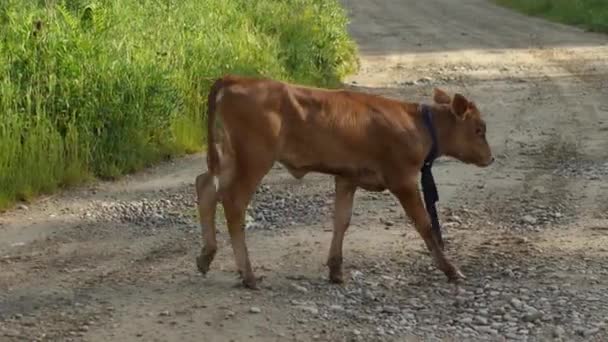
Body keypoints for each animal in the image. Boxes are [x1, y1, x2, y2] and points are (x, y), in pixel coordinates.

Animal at [195, 74, 494, 288]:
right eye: (479, 129)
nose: (490, 158)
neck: (417, 124)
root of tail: (237, 79)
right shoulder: (402, 179)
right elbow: (425, 224)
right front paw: (451, 269)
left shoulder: (347, 177)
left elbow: (342, 220)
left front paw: (336, 269)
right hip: (254, 158)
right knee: (233, 202)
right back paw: (247, 275)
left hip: (229, 156)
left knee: (206, 186)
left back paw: (206, 256)